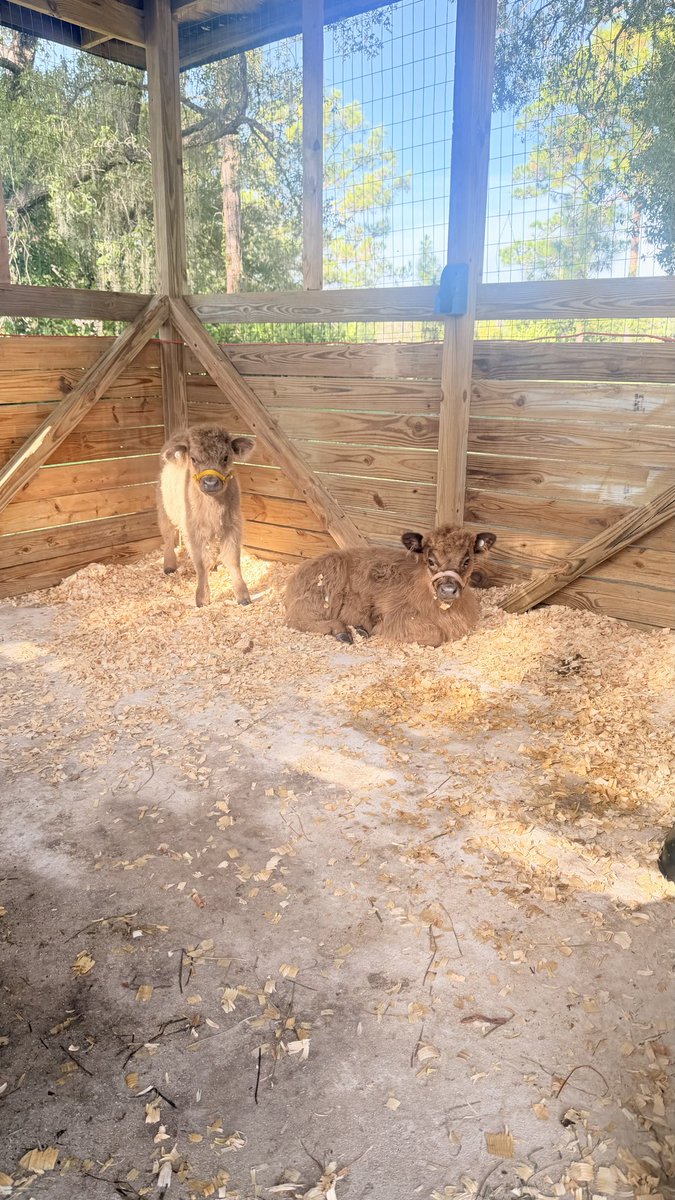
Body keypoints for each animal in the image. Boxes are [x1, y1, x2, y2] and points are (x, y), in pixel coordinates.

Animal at [157, 424, 255, 608]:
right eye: (193, 459)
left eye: (225, 457)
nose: (211, 483)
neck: (212, 507)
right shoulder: (193, 530)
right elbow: (201, 563)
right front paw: (202, 597)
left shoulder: (232, 525)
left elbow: (232, 559)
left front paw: (243, 595)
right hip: (164, 509)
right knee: (168, 536)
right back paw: (169, 565)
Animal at [284, 524, 497, 647]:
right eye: (430, 560)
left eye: (467, 560)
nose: (448, 590)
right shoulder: (397, 617)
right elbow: (435, 636)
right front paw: (373, 629)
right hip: (324, 591)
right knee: (297, 620)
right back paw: (346, 632)